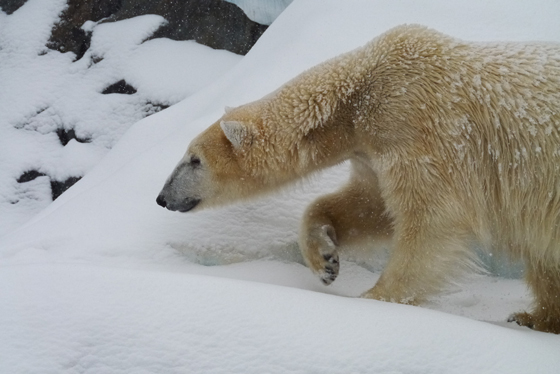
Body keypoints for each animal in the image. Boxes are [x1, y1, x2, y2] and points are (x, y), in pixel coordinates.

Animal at [155, 25, 560, 334]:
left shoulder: (414, 124)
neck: (359, 95)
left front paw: (373, 301)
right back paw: (533, 317)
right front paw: (325, 259)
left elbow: (432, 217)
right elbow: (369, 206)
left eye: (194, 159)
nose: (162, 197)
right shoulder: (370, 146)